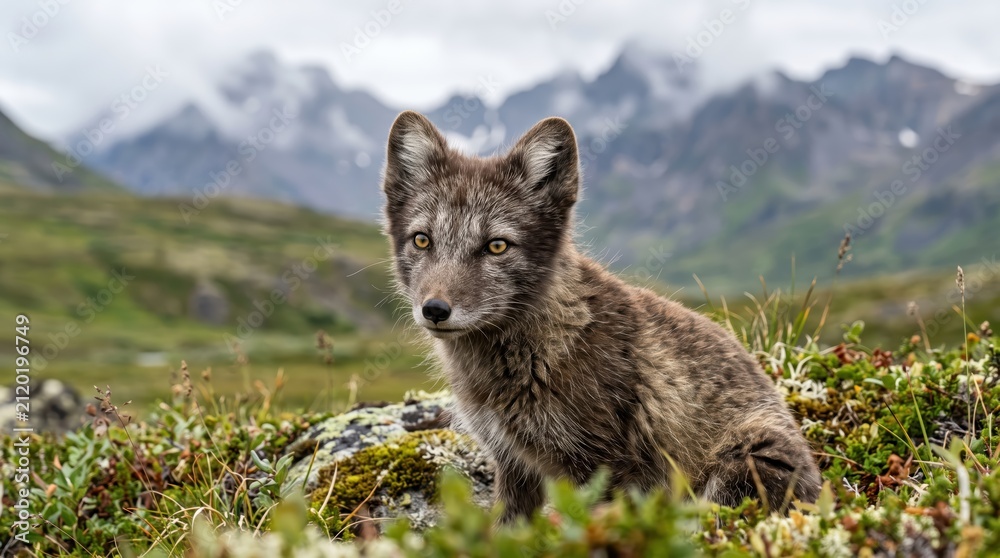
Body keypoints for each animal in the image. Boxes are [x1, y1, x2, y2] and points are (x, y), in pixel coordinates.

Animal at [380, 110, 821, 523]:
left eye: (497, 246)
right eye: (422, 240)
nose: (435, 309)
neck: (541, 345)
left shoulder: (606, 468)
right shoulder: (513, 462)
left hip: (747, 463)